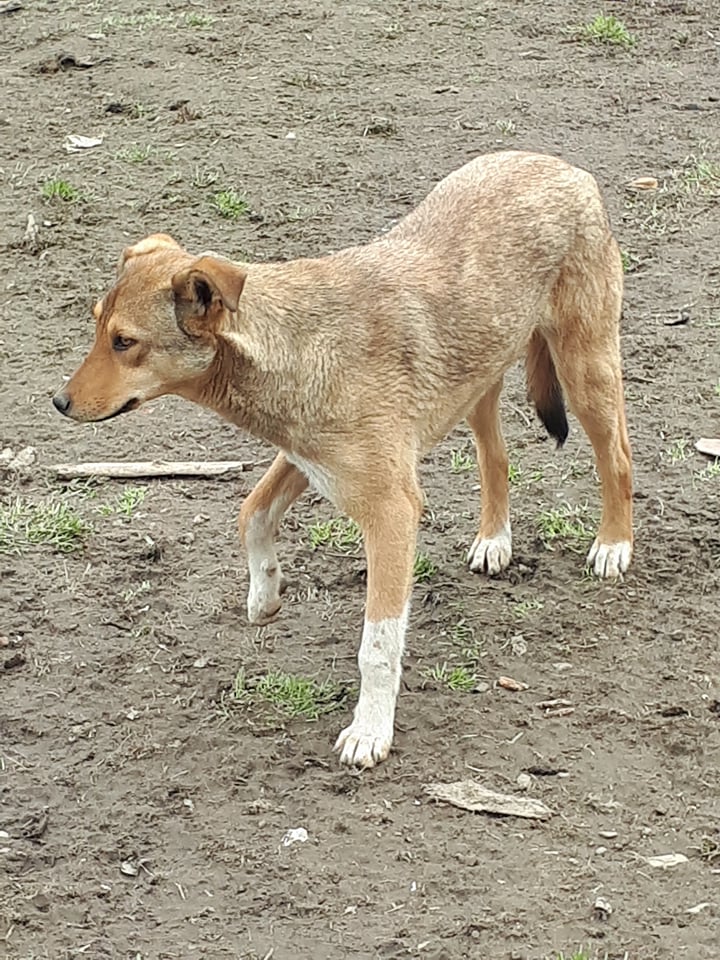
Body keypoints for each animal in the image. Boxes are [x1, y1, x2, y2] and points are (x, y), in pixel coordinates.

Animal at [53, 148, 632, 764]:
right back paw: (494, 540)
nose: (59, 402)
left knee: (617, 457)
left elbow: (377, 644)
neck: (294, 344)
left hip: (585, 368)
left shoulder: (391, 510)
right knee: (496, 460)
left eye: (124, 342)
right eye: (97, 326)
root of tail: (561, 166)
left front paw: (370, 730)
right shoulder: (304, 456)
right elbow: (250, 513)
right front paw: (265, 592)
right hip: (479, 382)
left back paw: (614, 545)